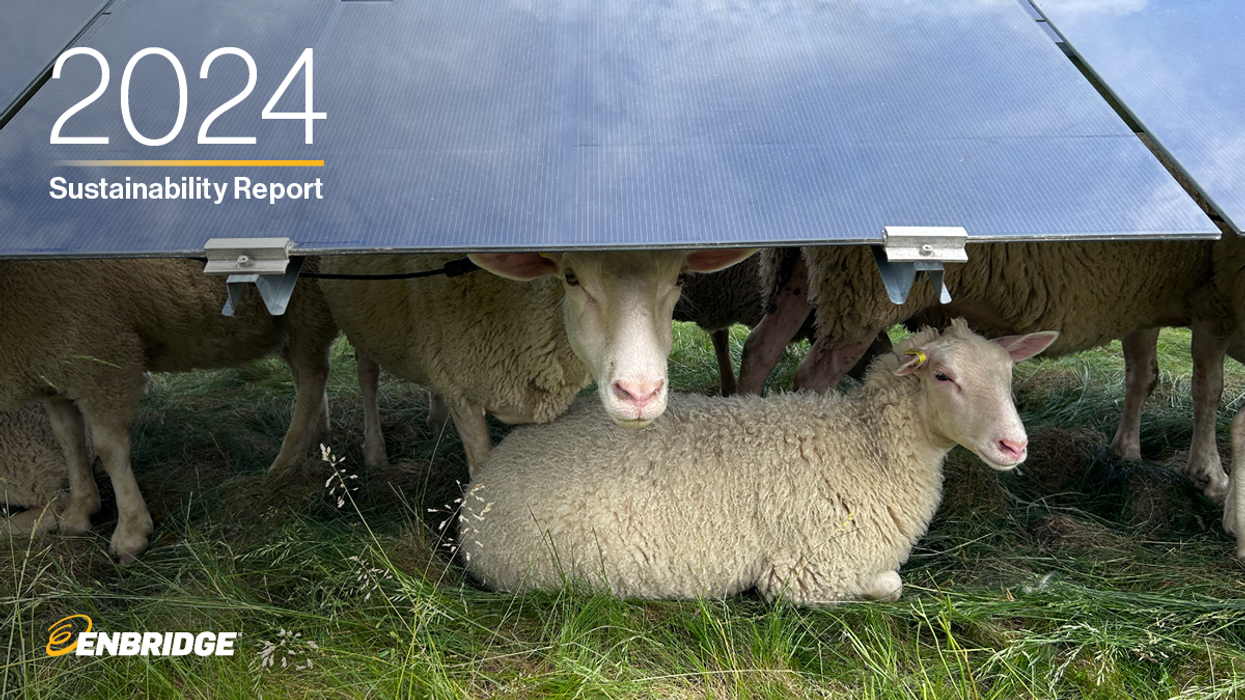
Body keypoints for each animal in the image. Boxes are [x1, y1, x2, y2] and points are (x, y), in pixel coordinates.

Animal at [318, 249, 755, 472]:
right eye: (571, 277)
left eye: (680, 278)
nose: (639, 394)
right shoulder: (464, 391)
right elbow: (481, 470)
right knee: (366, 374)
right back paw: (375, 454)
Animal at [459, 320, 1058, 603]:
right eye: (942, 376)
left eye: (1008, 374)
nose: (1015, 446)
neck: (868, 444)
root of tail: (478, 489)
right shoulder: (811, 570)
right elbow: (891, 584)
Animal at [736, 241, 1235, 501]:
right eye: (942, 378)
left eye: (1010, 378)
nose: (1014, 447)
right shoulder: (1219, 292)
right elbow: (1208, 385)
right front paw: (1210, 474)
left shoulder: (1143, 297)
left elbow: (1142, 374)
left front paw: (1126, 452)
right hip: (866, 283)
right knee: (814, 378)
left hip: (805, 271)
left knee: (761, 346)